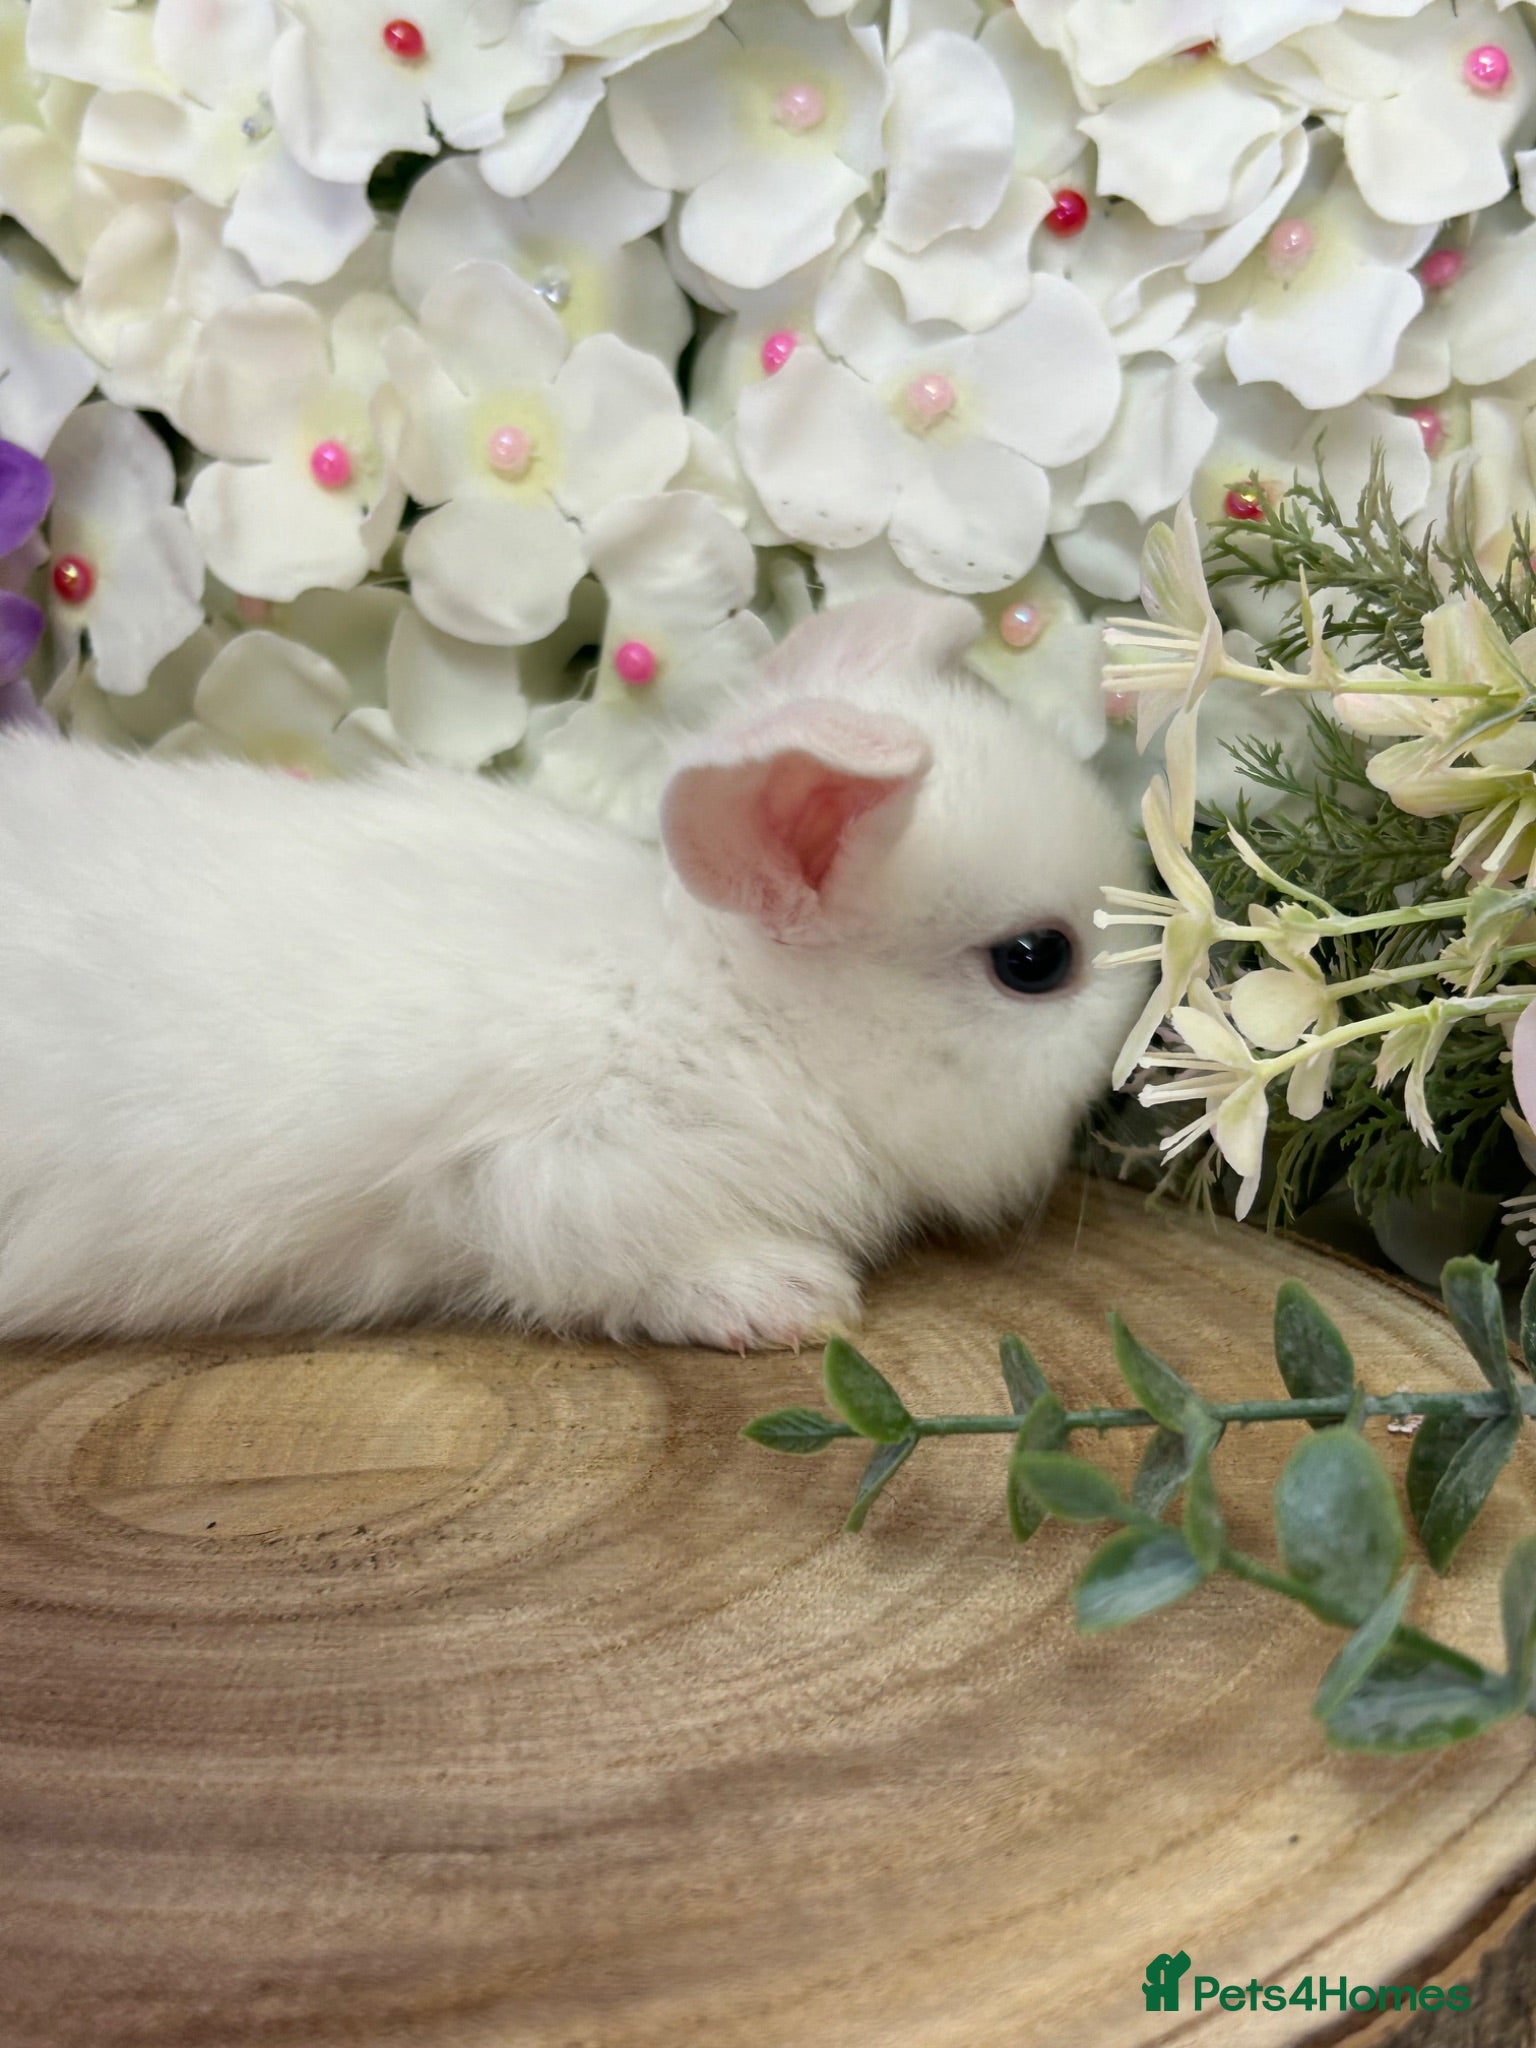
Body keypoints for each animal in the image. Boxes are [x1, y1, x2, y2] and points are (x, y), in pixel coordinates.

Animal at [0, 591, 1148, 1351]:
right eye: (1036, 961)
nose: (1151, 1019)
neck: (731, 1006)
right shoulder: (563, 1172)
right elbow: (616, 1265)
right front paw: (792, 1297)